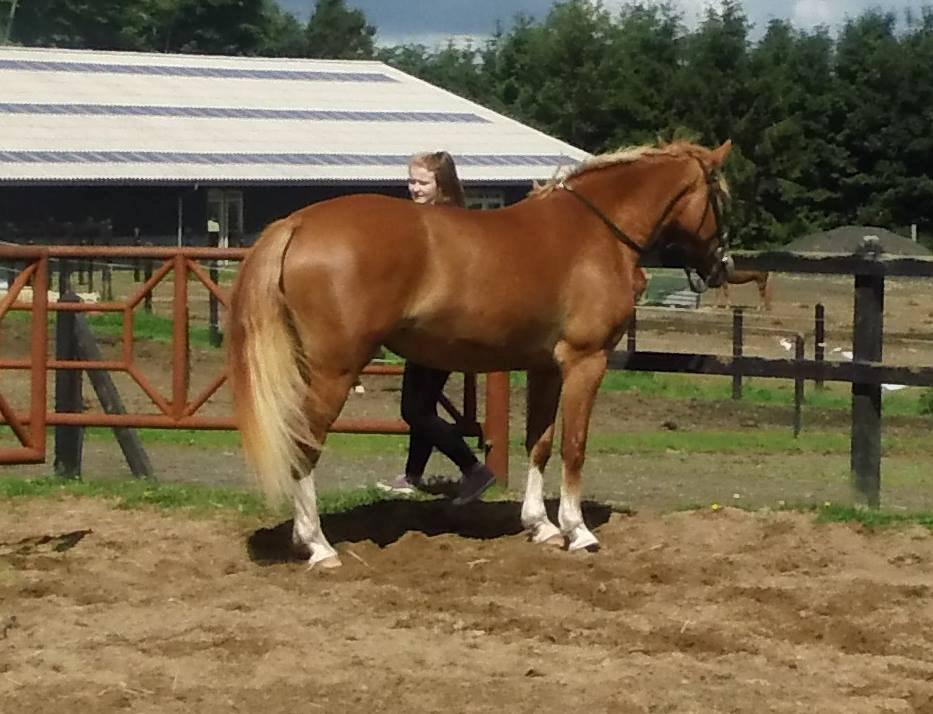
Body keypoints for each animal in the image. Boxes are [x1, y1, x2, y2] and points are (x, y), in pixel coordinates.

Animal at [228, 139, 736, 568]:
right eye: (721, 195)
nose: (721, 266)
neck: (594, 230)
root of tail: (297, 223)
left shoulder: (545, 368)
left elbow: (540, 443)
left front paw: (541, 525)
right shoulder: (585, 361)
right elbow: (574, 445)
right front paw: (578, 531)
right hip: (334, 372)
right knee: (304, 445)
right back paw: (318, 546)